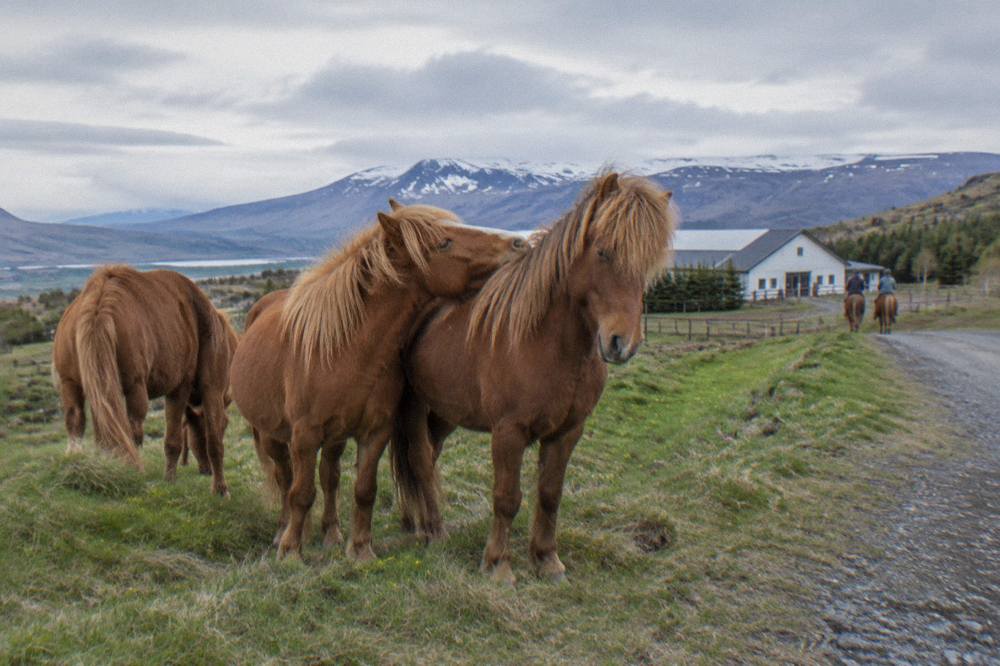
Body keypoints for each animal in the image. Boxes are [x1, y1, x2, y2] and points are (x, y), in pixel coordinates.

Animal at [52, 266, 237, 495]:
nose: (205, 470)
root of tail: (98, 305)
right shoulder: (183, 387)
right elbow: (177, 439)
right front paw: (174, 480)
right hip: (138, 388)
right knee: (135, 430)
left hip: (74, 383)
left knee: (79, 420)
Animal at [229, 203, 526, 561]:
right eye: (444, 243)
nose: (520, 243)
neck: (344, 350)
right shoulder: (304, 435)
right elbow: (300, 492)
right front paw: (290, 551)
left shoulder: (375, 432)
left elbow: (363, 490)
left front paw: (360, 549)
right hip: (272, 434)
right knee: (284, 476)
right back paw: (283, 531)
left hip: (335, 438)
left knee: (329, 476)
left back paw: (330, 533)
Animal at [391, 173, 677, 584]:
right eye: (603, 252)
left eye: (650, 262)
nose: (622, 343)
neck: (545, 343)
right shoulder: (508, 432)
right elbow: (507, 498)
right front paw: (498, 564)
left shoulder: (566, 432)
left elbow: (549, 494)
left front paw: (547, 559)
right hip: (414, 409)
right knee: (418, 458)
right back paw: (431, 529)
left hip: (444, 413)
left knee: (428, 457)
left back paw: (414, 520)